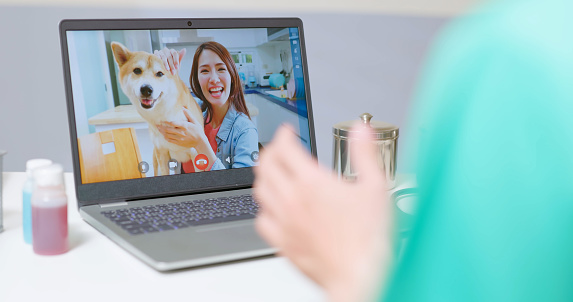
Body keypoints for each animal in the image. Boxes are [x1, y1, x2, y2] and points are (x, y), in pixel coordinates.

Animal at [110, 41, 202, 176]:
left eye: (159, 73)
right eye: (137, 70)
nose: (146, 89)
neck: (164, 115)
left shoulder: (196, 153)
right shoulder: (162, 153)